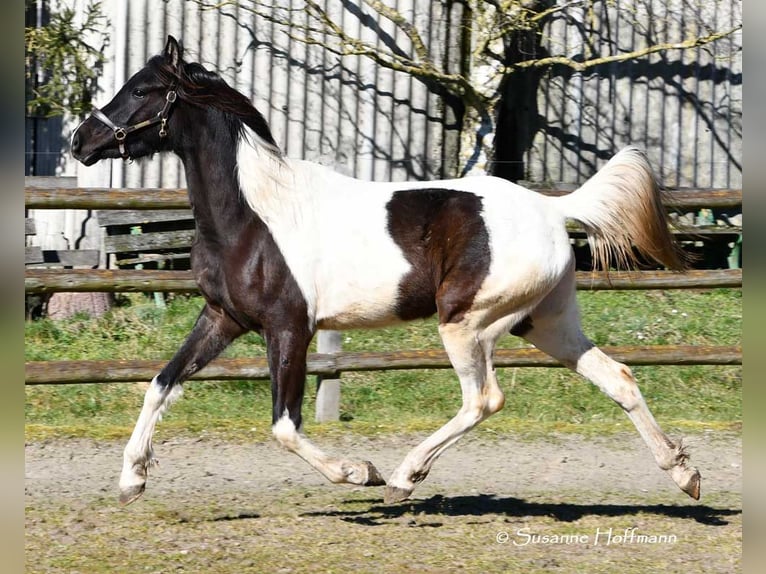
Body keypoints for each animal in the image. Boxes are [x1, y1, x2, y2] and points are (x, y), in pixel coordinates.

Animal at [71, 36, 701, 506]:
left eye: (142, 90)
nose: (81, 139)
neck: (254, 214)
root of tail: (553, 208)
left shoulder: (288, 327)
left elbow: (284, 425)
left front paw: (358, 471)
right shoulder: (223, 318)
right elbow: (161, 383)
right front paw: (131, 479)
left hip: (468, 323)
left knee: (484, 399)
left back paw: (403, 476)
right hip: (545, 322)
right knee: (618, 378)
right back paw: (684, 473)